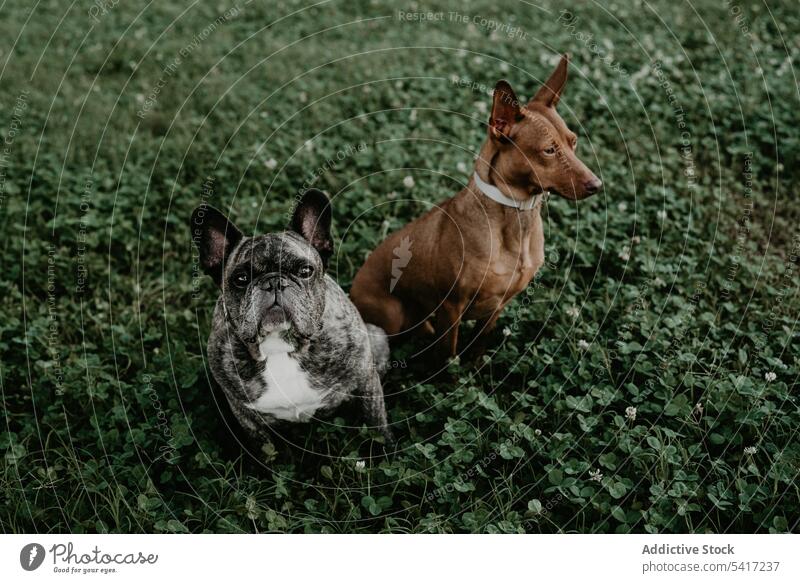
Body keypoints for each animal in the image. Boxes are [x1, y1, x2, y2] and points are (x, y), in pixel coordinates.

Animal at [194, 189, 394, 444]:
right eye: (240, 279)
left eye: (305, 271)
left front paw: (385, 449)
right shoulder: (248, 419)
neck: (281, 346)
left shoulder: (366, 382)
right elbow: (267, 449)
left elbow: (377, 425)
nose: (273, 282)